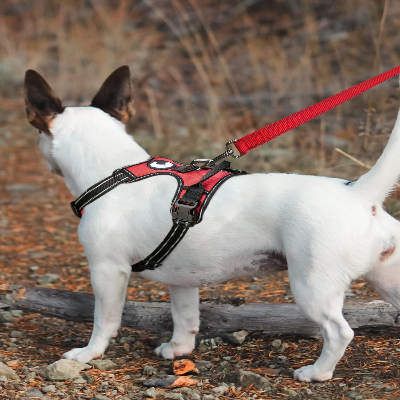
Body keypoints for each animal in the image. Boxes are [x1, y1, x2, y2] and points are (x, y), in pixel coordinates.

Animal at [24, 65, 400, 382]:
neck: (114, 172)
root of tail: (358, 194)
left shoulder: (107, 270)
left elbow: (105, 319)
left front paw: (88, 354)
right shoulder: (182, 280)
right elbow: (185, 318)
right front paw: (179, 350)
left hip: (312, 287)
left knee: (339, 331)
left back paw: (317, 372)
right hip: (387, 281)